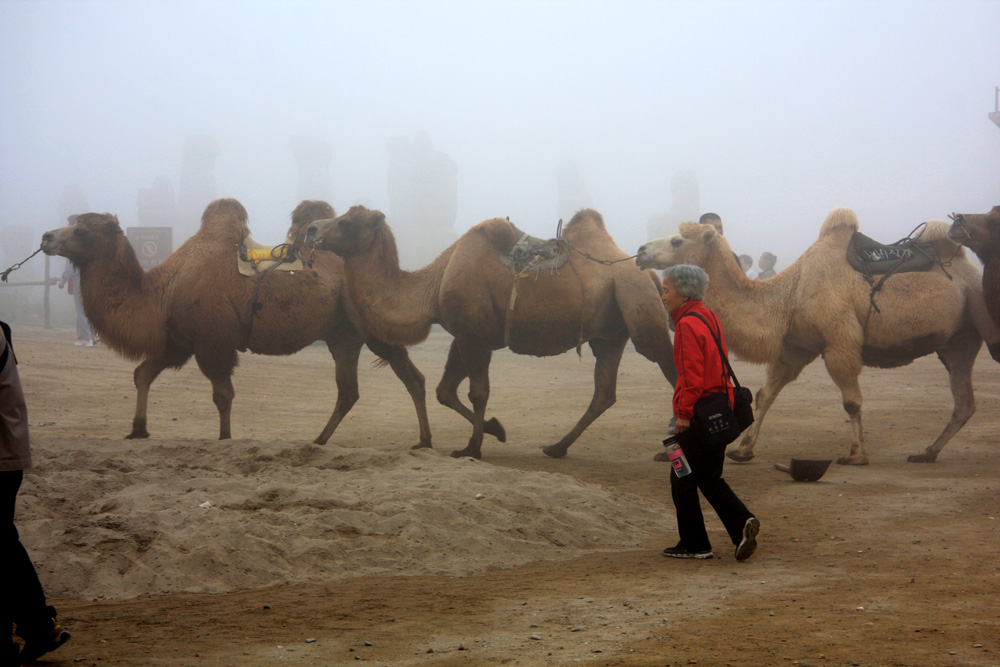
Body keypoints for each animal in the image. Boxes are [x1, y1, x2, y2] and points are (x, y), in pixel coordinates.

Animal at [40, 200, 434, 448]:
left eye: (81, 230)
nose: (46, 237)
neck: (165, 289)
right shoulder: (180, 342)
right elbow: (143, 374)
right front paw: (138, 429)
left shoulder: (212, 342)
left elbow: (222, 395)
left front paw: (225, 439)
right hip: (343, 337)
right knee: (349, 390)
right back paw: (321, 439)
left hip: (372, 327)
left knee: (410, 378)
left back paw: (424, 440)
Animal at [304, 207, 680, 460]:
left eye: (346, 222)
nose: (310, 228)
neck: (433, 286)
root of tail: (648, 275)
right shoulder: (464, 335)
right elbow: (444, 391)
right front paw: (495, 430)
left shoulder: (475, 337)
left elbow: (478, 392)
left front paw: (472, 447)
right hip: (610, 333)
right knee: (604, 392)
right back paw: (556, 447)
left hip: (640, 311)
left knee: (671, 368)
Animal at [636, 209, 996, 464]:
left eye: (677, 241)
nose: (640, 250)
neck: (788, 295)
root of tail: (966, 267)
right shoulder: (795, 347)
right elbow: (766, 394)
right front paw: (743, 449)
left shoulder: (839, 343)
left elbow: (851, 401)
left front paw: (856, 454)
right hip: (958, 339)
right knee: (964, 401)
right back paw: (927, 452)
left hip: (982, 312)